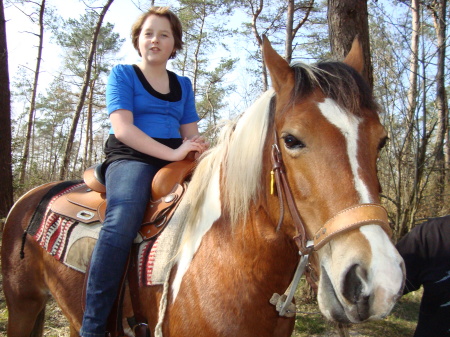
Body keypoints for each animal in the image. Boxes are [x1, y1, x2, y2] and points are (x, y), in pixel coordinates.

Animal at [2, 37, 404, 336]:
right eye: (291, 140)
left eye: (382, 141)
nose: (378, 280)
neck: (230, 255)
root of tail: (33, 195)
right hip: (23, 306)